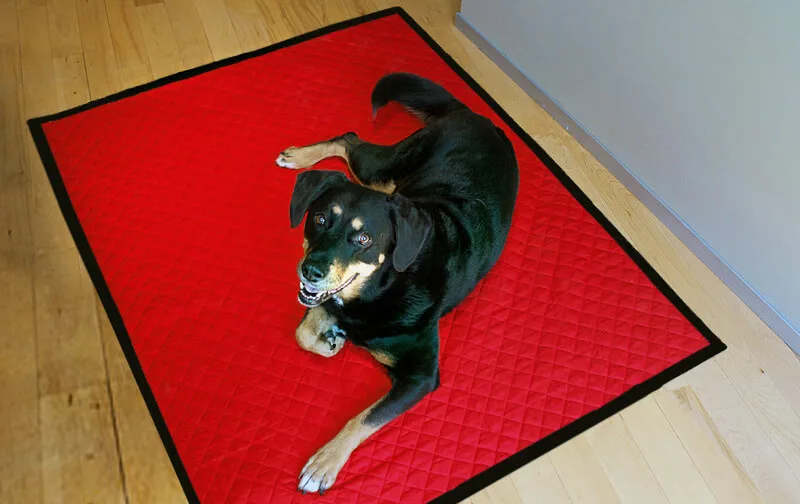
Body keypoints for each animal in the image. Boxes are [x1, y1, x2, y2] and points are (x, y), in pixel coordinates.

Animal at [276, 73, 520, 494]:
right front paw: (330, 339)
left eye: (363, 239)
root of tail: (478, 117)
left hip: (389, 177)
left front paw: (324, 463)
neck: (382, 287)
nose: (310, 271)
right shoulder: (328, 298)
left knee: (353, 142)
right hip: (386, 172)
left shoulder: (420, 377)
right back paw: (300, 157)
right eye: (319, 219)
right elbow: (304, 332)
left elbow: (364, 418)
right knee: (349, 138)